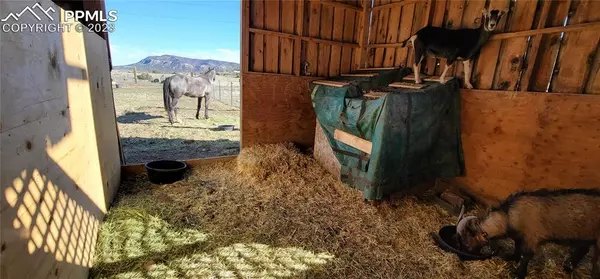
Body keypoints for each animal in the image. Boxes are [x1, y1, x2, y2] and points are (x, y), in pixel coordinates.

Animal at [458, 189, 596, 278]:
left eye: (466, 243)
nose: (462, 258)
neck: (509, 216)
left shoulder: (532, 238)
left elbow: (526, 256)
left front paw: (518, 274)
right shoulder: (520, 237)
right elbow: (517, 248)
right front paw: (512, 258)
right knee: (583, 249)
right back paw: (568, 268)